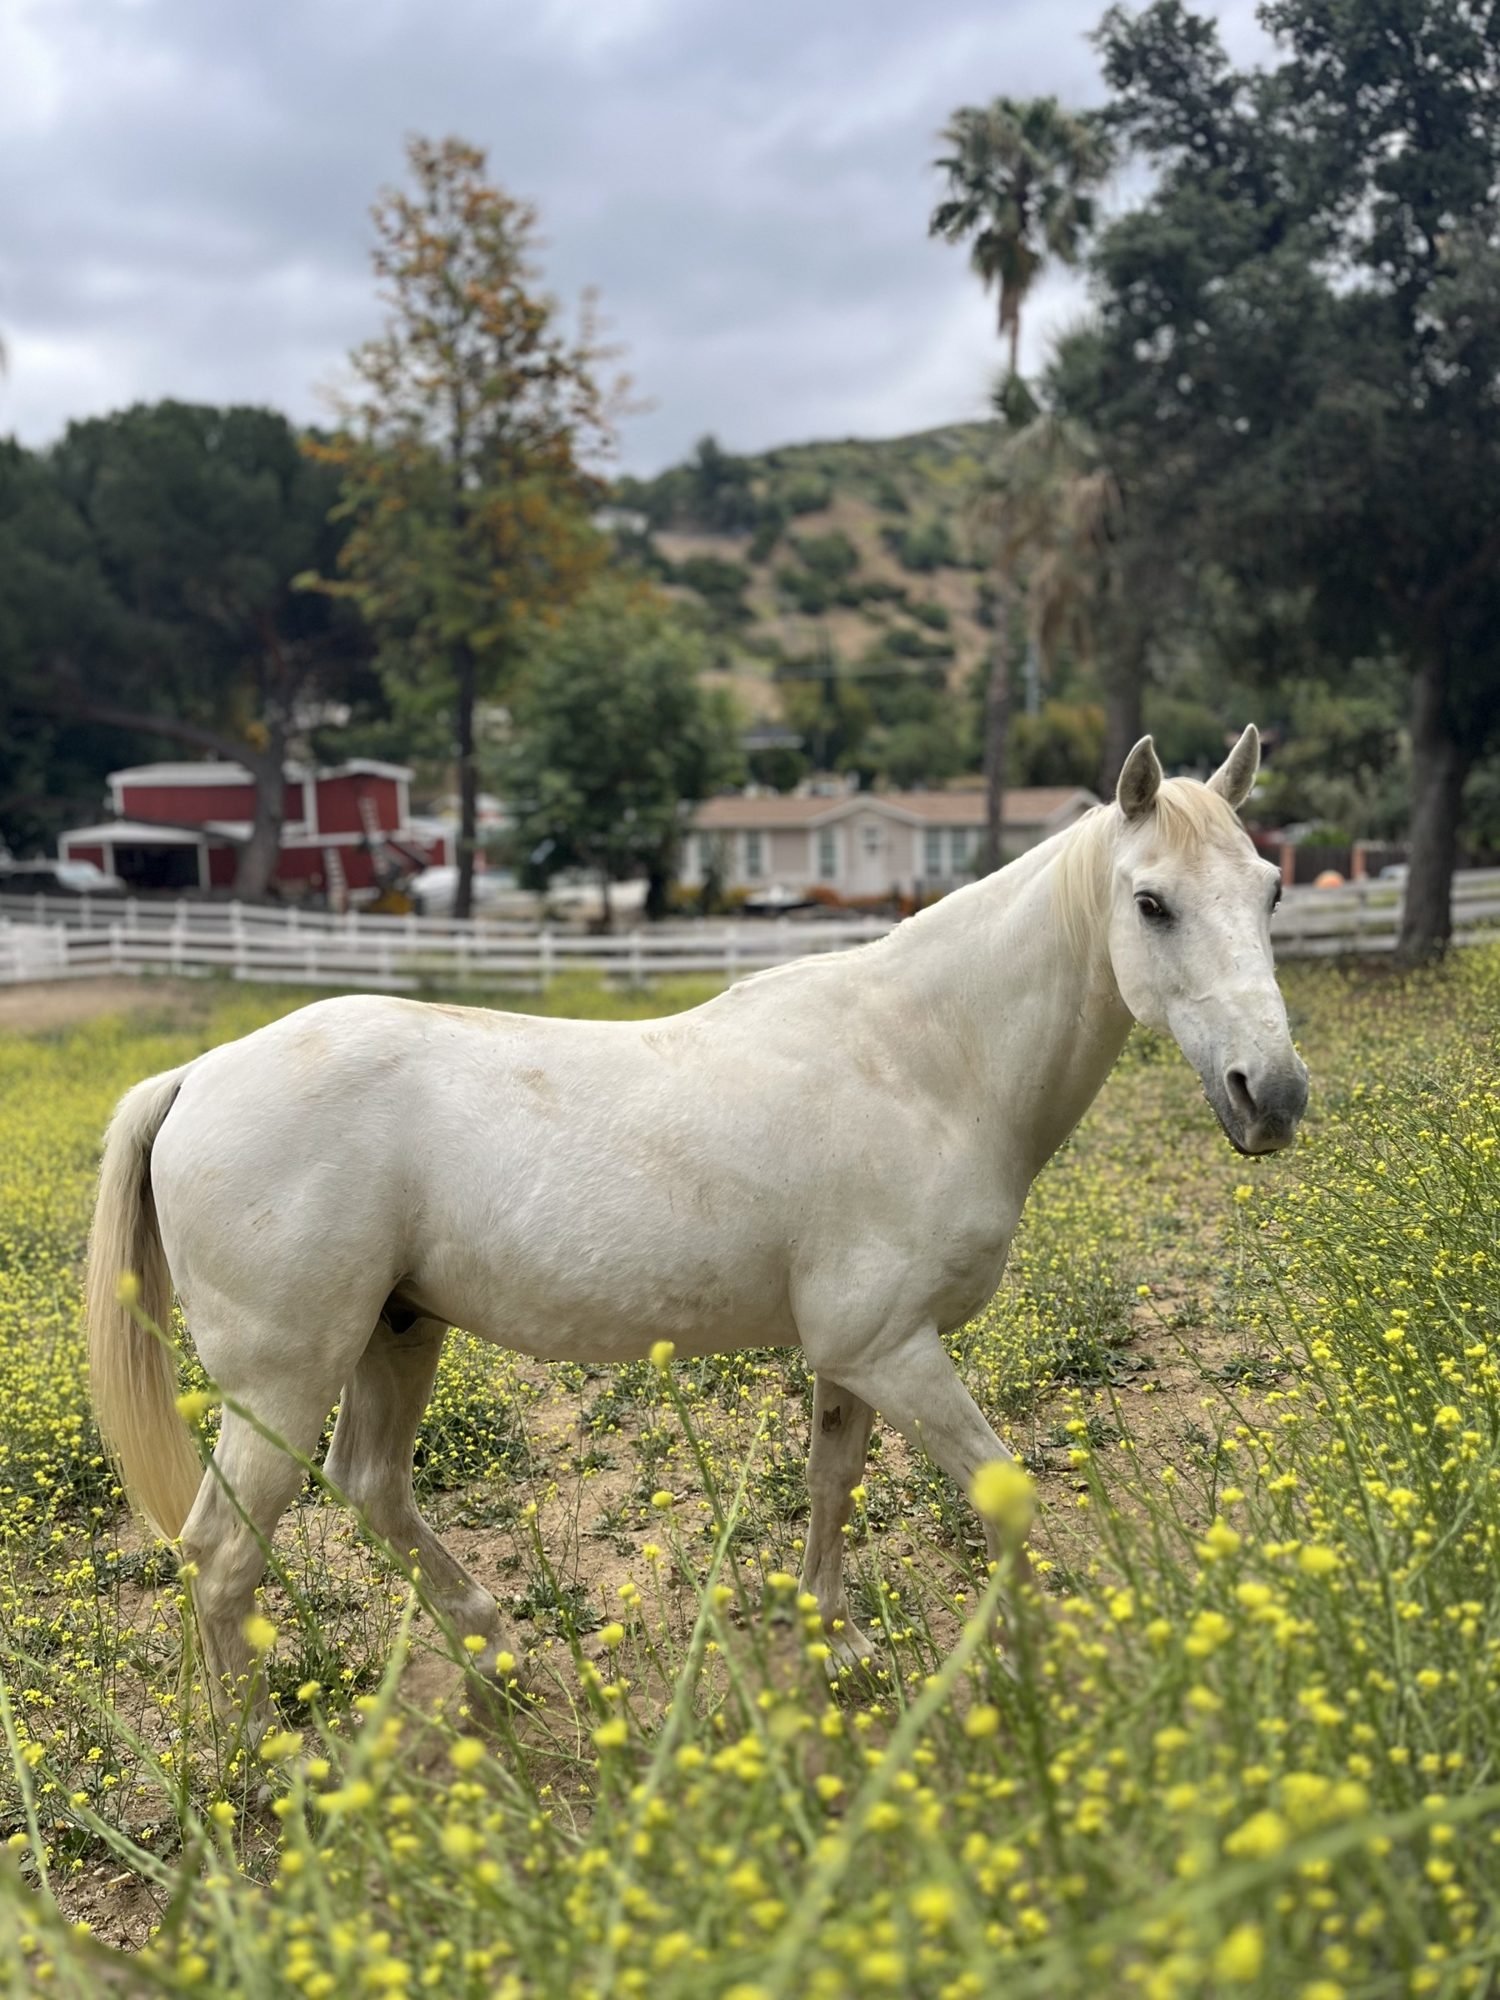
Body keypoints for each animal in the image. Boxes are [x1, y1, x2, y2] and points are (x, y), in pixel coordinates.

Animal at [85, 728, 1307, 1711]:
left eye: (1270, 891)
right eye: (1151, 902)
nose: (1274, 1094)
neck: (919, 1062)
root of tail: (196, 1076)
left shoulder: (854, 1352)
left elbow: (830, 1482)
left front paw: (836, 1638)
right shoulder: (896, 1351)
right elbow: (1003, 1495)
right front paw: (1036, 1662)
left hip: (398, 1331)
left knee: (371, 1488)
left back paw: (496, 1649)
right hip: (283, 1381)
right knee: (223, 1555)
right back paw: (260, 1773)